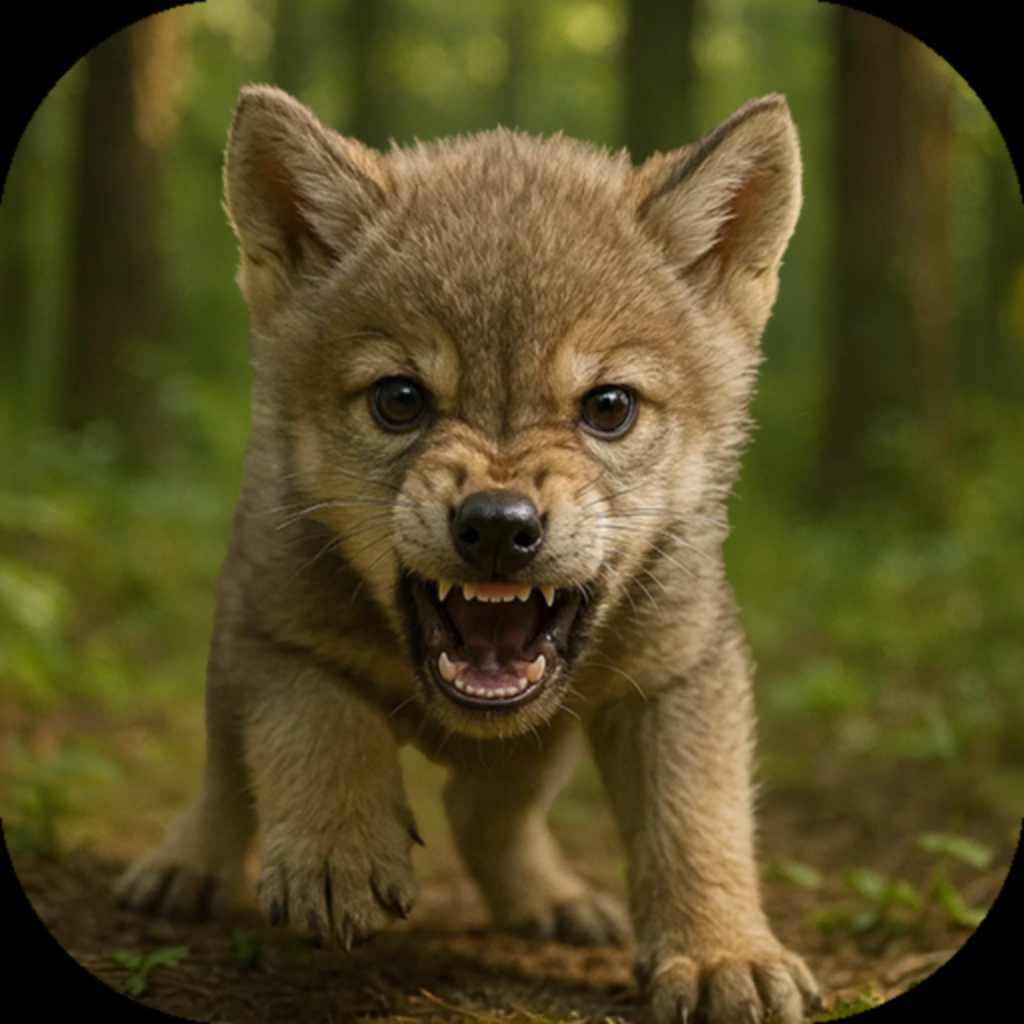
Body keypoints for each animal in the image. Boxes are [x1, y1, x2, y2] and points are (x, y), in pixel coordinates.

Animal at [116, 85, 820, 1023]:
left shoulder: (679, 673)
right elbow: (319, 725)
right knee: (229, 782)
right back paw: (182, 866)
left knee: (482, 807)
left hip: (542, 744)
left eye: (609, 407)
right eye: (400, 399)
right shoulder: (279, 632)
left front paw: (720, 956)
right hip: (229, 665)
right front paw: (338, 850)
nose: (496, 523)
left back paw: (551, 897)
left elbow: (697, 822)